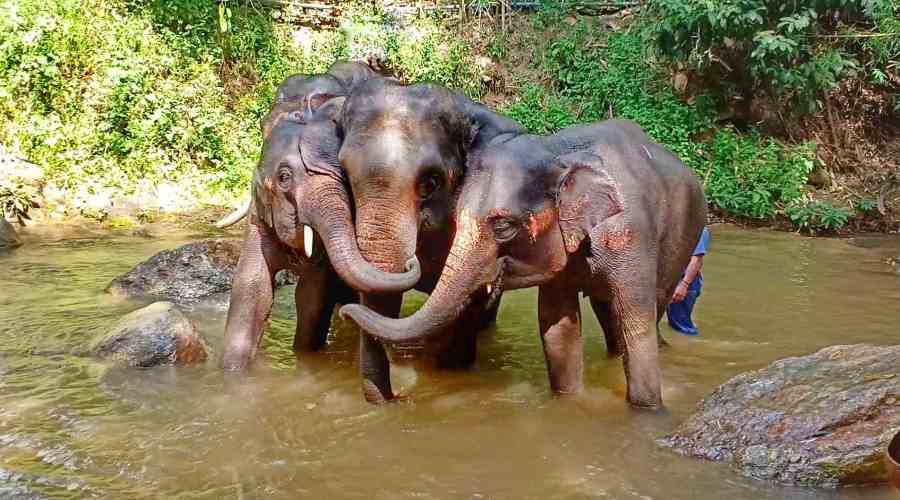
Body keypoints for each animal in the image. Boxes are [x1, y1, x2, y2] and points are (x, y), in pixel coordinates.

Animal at [219, 69, 420, 370]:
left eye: (346, 176)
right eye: (284, 177)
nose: (411, 261)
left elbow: (312, 295)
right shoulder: (259, 212)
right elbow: (253, 284)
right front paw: (231, 372)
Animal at [340, 119, 708, 409]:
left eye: (503, 226)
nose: (344, 311)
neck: (558, 152)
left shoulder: (628, 233)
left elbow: (636, 321)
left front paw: (649, 411)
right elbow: (557, 325)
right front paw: (570, 403)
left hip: (685, 234)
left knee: (652, 306)